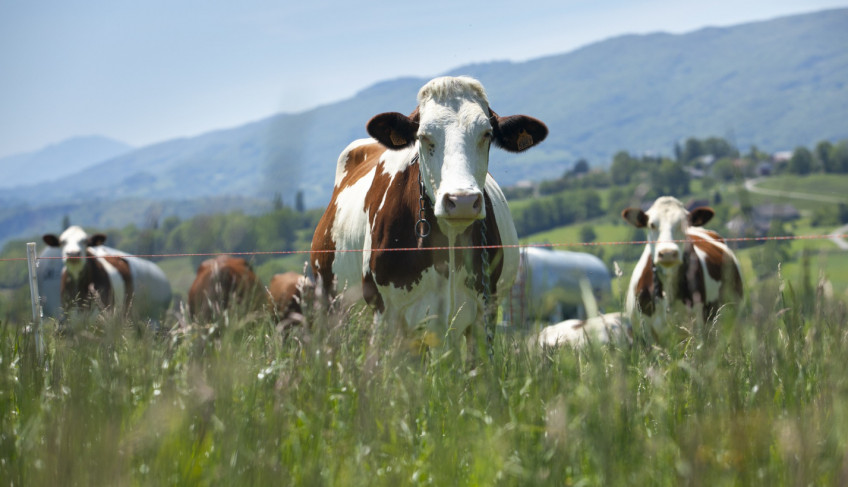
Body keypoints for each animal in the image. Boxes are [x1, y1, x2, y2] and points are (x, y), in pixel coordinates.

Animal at [312, 75, 548, 350]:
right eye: (424, 136)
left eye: (487, 134)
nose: (462, 200)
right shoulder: (385, 314)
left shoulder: (484, 312)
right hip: (331, 309)